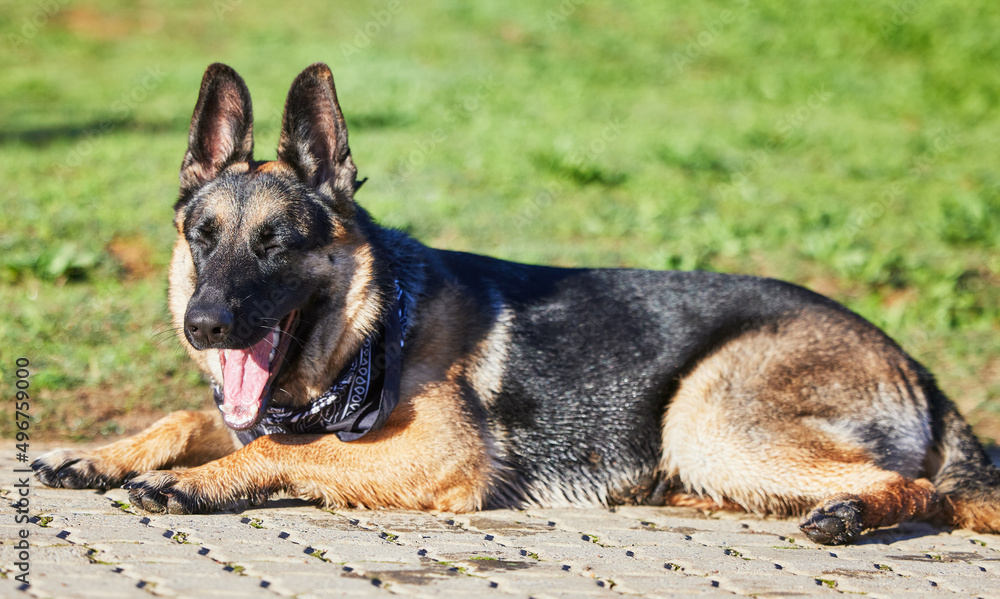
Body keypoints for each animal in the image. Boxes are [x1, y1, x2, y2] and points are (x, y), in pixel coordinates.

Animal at [33, 62, 1000, 544]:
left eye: (277, 243)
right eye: (203, 236)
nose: (203, 323)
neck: (373, 330)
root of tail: (915, 364)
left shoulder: (435, 458)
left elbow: (282, 451)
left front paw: (191, 482)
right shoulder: (257, 409)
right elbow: (192, 420)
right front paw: (97, 453)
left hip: (707, 416)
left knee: (916, 487)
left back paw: (846, 514)